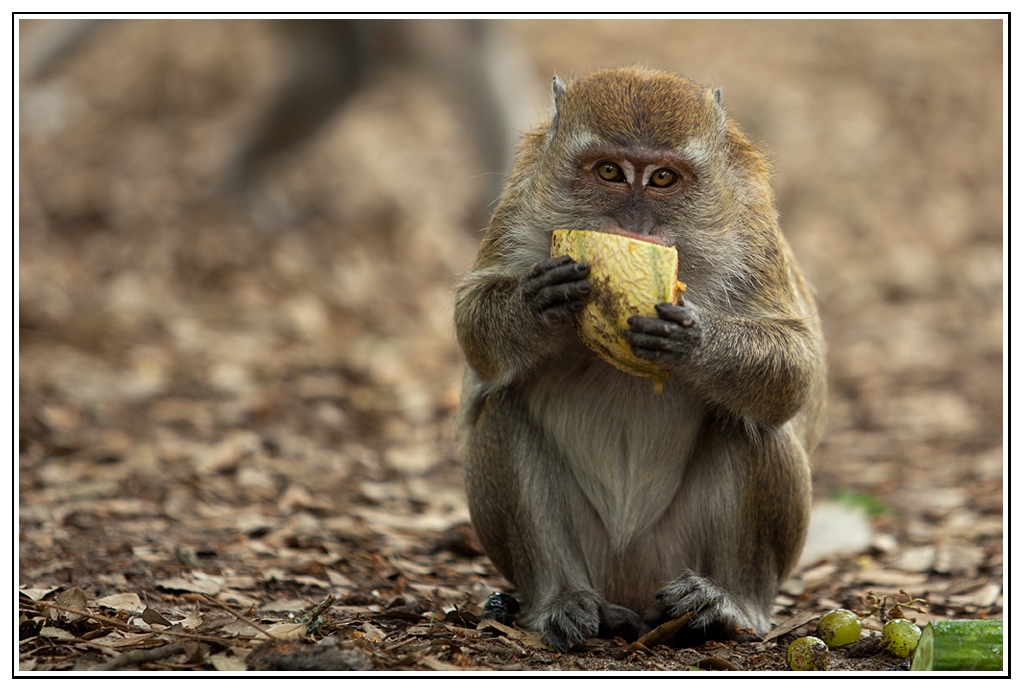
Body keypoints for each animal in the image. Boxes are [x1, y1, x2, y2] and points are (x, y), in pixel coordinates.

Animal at [452, 62, 827, 651]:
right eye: (610, 171)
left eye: (663, 179)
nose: (632, 225)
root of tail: (629, 583)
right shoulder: (519, 203)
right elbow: (473, 327)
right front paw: (535, 306)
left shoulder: (752, 229)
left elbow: (796, 367)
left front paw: (693, 340)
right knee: (504, 409)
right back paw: (561, 600)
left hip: (670, 556)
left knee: (753, 423)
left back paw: (728, 602)